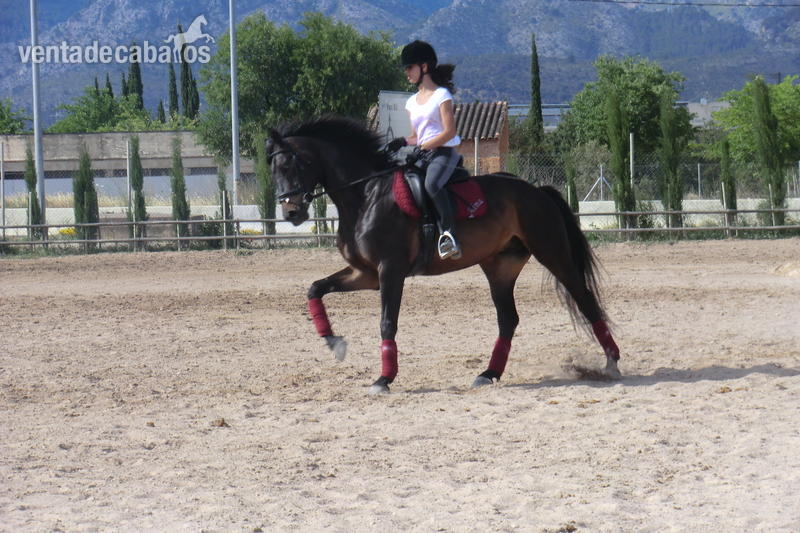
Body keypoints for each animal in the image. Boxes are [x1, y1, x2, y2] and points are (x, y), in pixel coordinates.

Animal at [266, 115, 621, 394]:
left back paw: (612, 362)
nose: (291, 213)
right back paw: (488, 374)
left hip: (552, 253)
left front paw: (383, 379)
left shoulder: (390, 270)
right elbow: (315, 288)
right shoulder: (365, 273)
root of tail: (537, 191)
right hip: (500, 267)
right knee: (508, 318)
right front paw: (335, 344)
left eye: (286, 165)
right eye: (273, 171)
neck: (365, 195)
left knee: (585, 300)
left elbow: (387, 323)